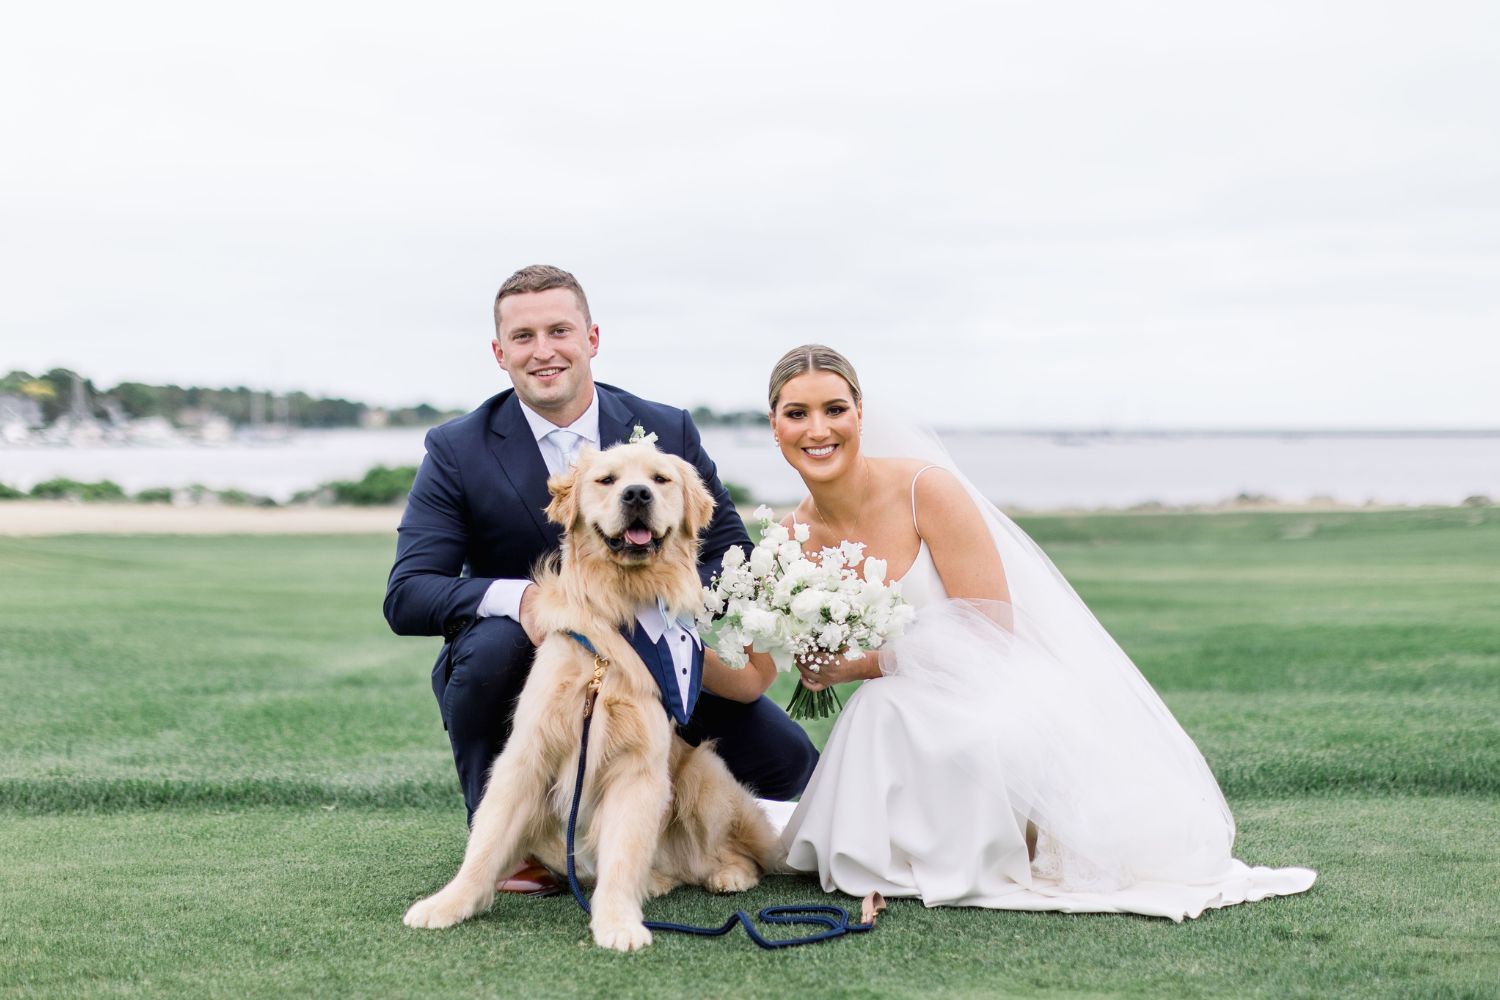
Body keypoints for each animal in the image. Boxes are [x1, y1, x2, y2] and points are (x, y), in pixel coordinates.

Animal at [408, 440, 786, 953]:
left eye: (660, 478)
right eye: (607, 480)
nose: (637, 494)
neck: (619, 611)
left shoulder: (639, 764)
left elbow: (623, 852)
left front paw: (617, 922)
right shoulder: (527, 754)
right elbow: (486, 840)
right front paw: (450, 903)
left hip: (704, 774)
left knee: (741, 854)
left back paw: (728, 874)